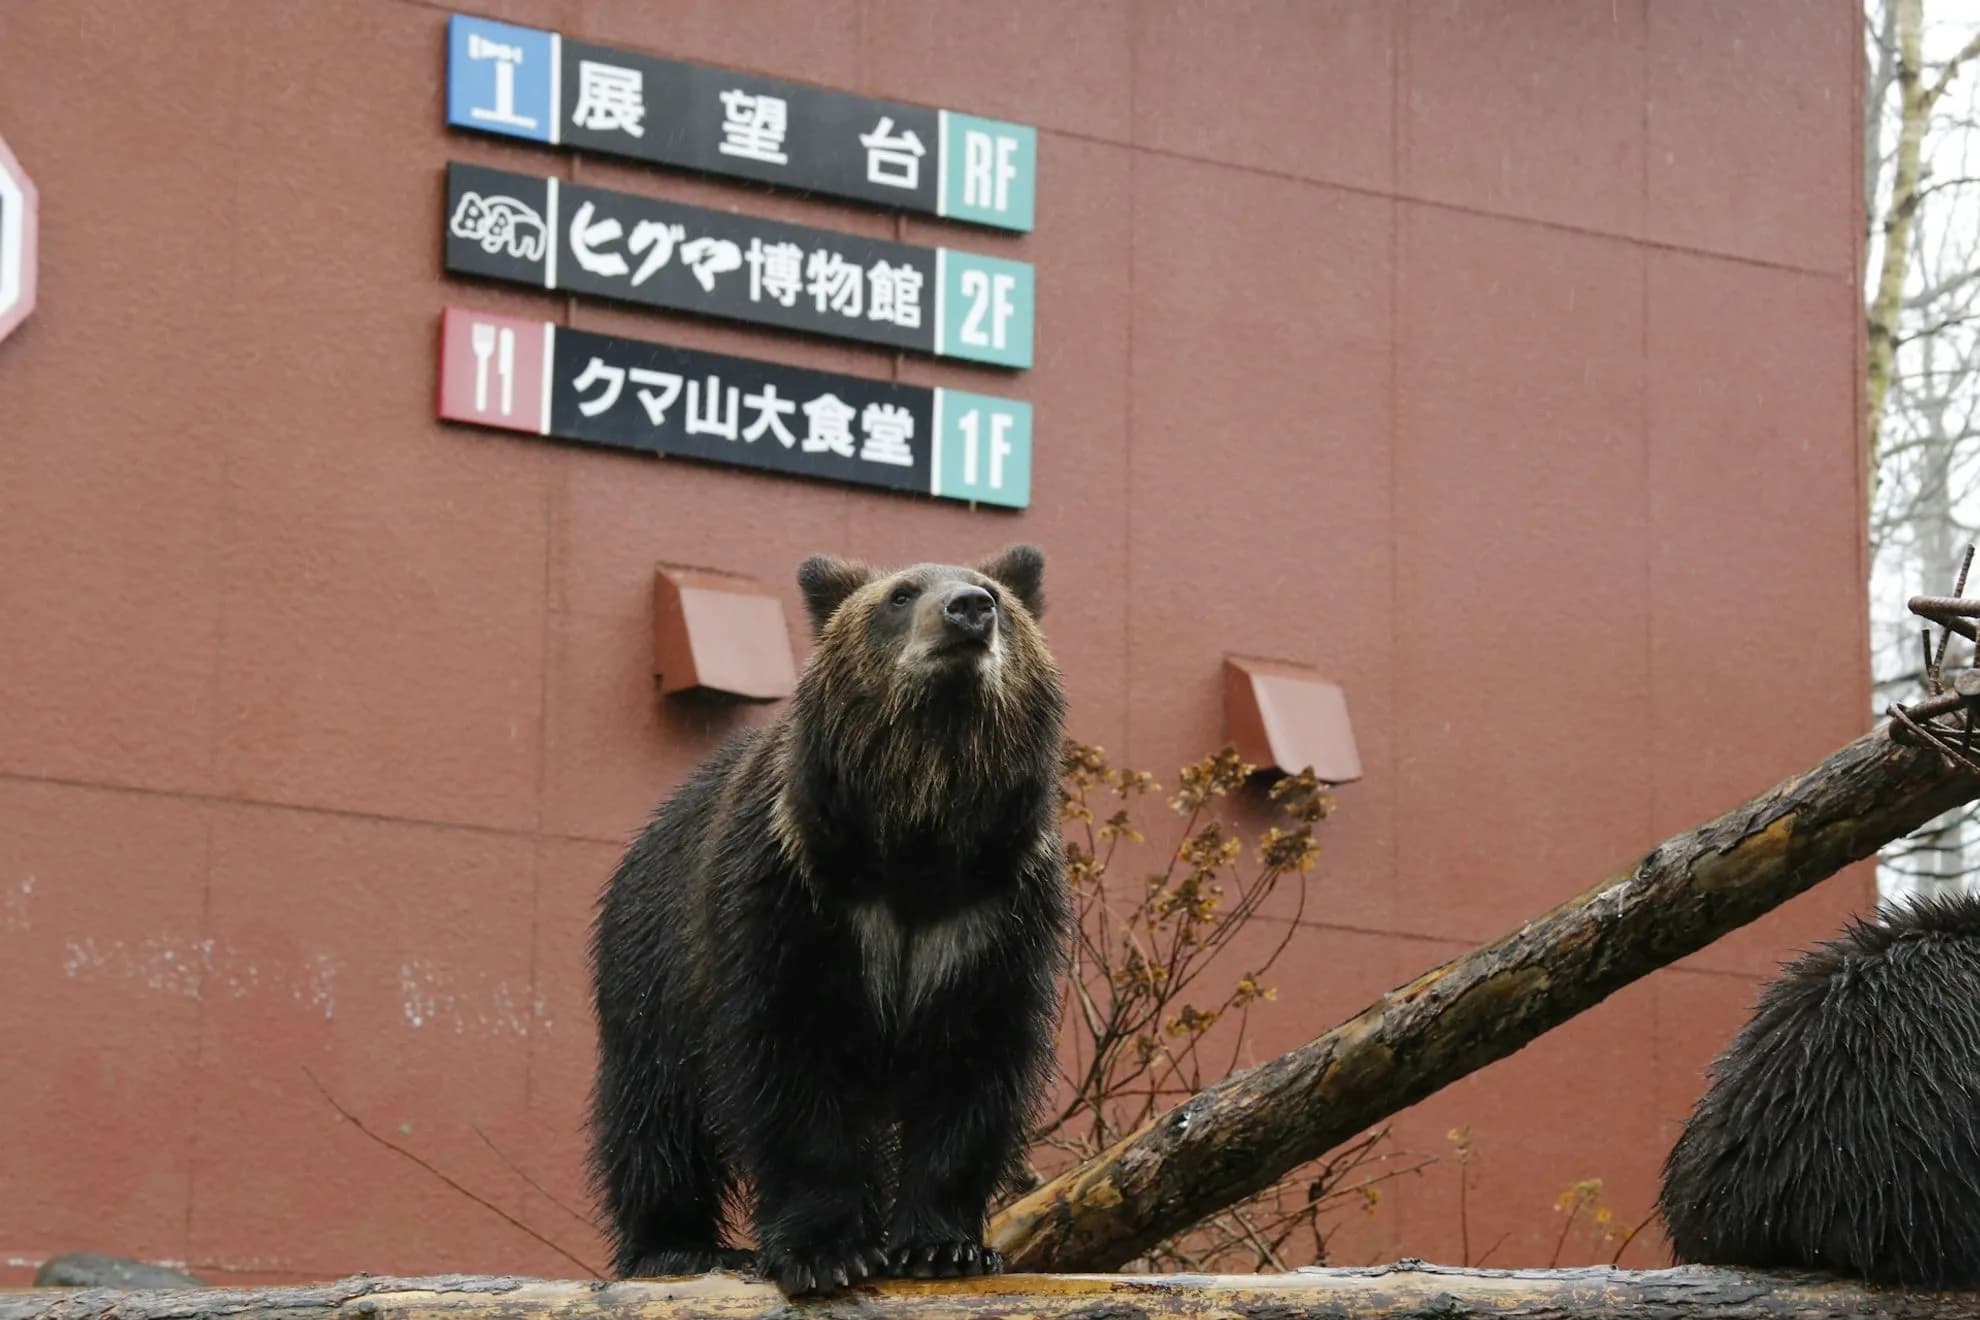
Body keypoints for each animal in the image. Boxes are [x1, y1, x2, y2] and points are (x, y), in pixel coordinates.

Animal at [586, 544, 1069, 1298]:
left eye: (993, 593)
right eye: (901, 594)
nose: (969, 610)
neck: (918, 835)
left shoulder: (991, 916)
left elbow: (976, 1068)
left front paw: (944, 1244)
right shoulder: (794, 897)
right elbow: (788, 1066)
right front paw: (825, 1251)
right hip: (648, 966)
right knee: (652, 1114)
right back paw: (674, 1245)